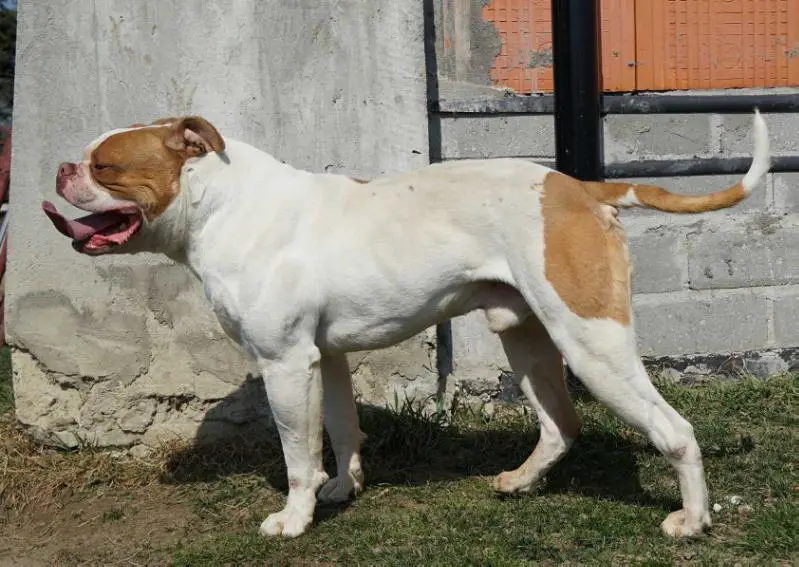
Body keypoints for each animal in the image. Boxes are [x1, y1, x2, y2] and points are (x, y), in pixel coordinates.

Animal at [42, 112, 768, 540]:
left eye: (105, 165)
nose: (60, 167)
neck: (221, 200)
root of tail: (580, 187)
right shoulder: (324, 358)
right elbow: (338, 429)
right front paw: (344, 487)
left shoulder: (283, 363)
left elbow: (296, 454)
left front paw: (294, 517)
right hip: (528, 340)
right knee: (561, 423)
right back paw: (519, 481)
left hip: (592, 342)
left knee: (674, 429)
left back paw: (692, 519)